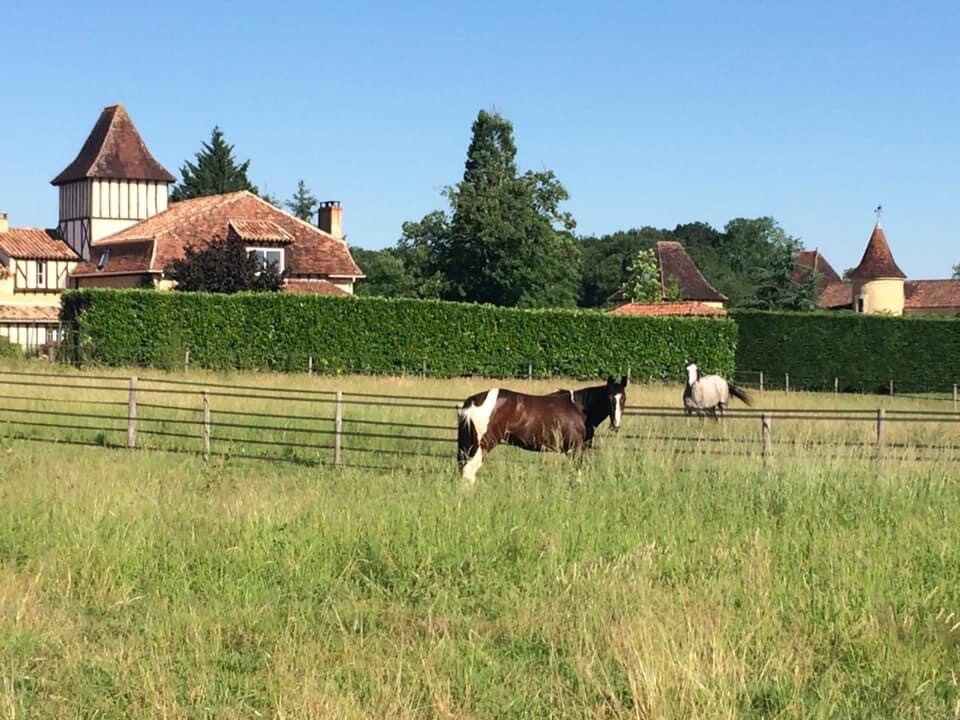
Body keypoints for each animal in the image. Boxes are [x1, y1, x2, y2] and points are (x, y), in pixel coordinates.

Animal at [458, 376, 632, 484]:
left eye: (623, 398)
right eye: (609, 398)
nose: (616, 425)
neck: (579, 408)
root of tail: (472, 402)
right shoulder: (575, 449)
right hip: (483, 445)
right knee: (468, 472)